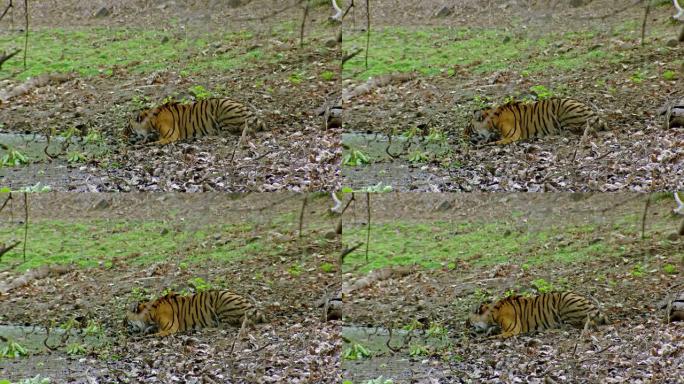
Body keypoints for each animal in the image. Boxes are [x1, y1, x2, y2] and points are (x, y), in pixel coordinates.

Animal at [124, 97, 266, 146]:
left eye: (128, 128)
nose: (122, 136)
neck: (152, 121)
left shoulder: (172, 135)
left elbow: (156, 142)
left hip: (224, 109)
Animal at [127, 290, 266, 338]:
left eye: (125, 322)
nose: (124, 330)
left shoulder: (170, 327)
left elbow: (156, 334)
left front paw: (145, 336)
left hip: (222, 301)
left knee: (227, 325)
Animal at [464, 97, 604, 146]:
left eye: (469, 130)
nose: (463, 139)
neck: (494, 122)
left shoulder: (512, 135)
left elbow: (495, 142)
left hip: (565, 109)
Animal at [468, 292, 608, 340]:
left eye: (468, 321)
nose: (467, 328)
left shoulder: (513, 329)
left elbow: (496, 336)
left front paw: (482, 338)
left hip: (566, 304)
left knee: (576, 326)